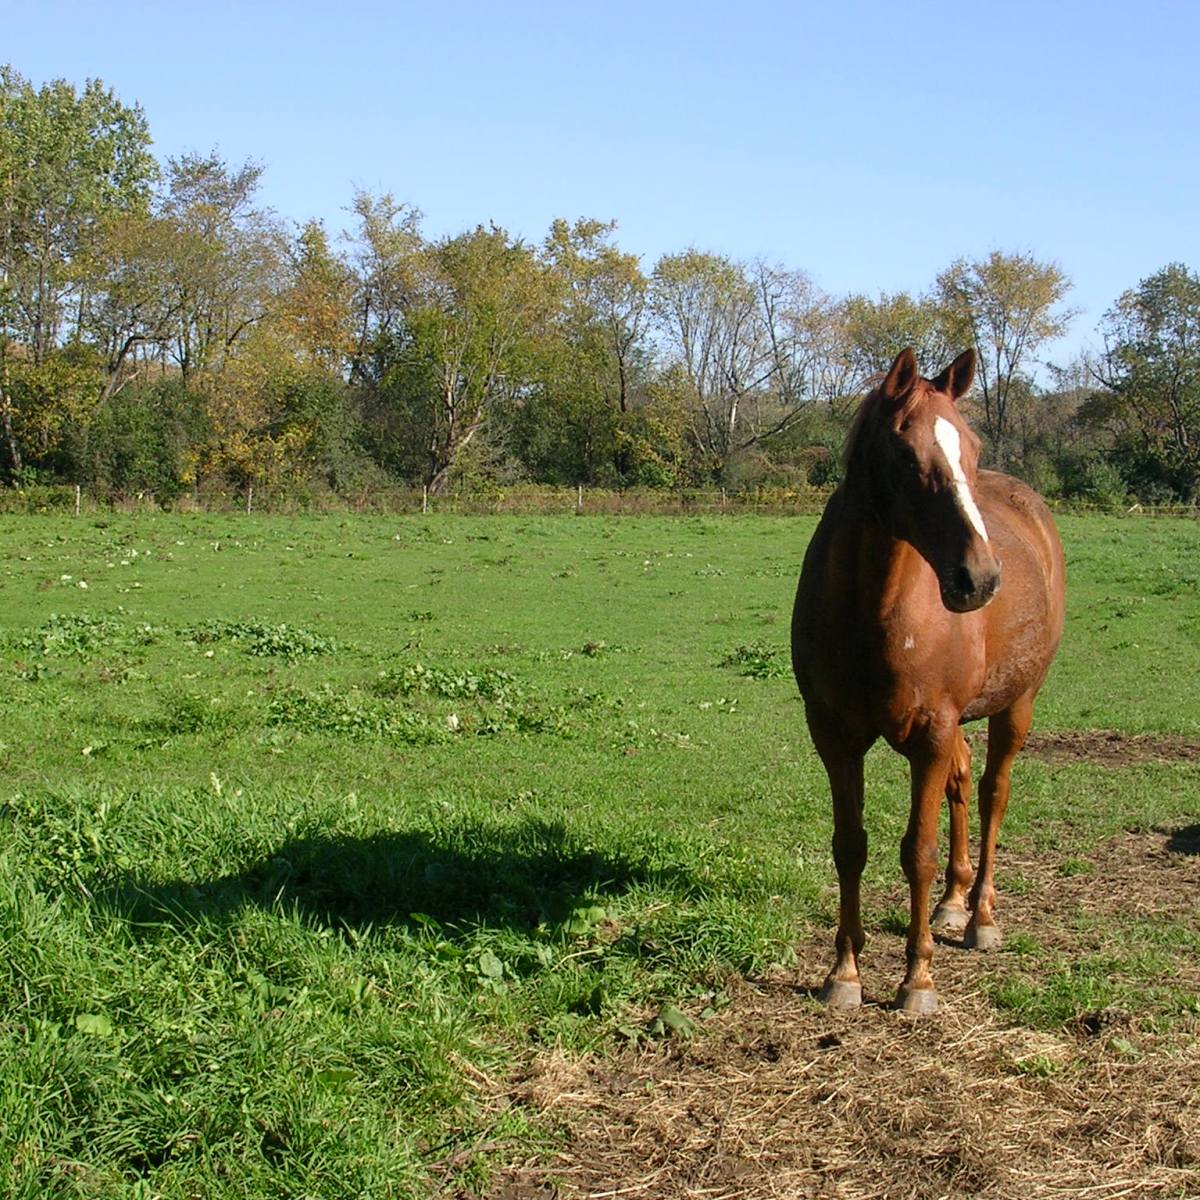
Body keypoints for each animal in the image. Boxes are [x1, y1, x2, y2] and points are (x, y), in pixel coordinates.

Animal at [791, 347, 1065, 1014]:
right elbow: (850, 845)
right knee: (964, 786)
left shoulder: (931, 735)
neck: (873, 614)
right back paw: (952, 903)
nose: (980, 579)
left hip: (1015, 705)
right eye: (905, 453)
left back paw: (981, 917)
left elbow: (917, 851)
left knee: (993, 792)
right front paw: (845, 971)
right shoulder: (835, 738)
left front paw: (917, 979)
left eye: (971, 447)